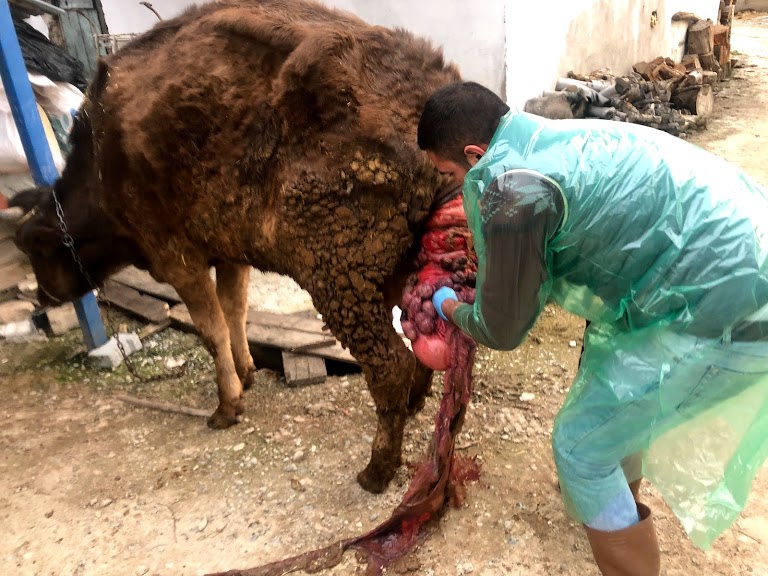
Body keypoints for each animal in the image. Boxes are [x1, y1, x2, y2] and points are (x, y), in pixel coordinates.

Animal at [10, 1, 462, 496]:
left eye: (34, 248)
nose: (42, 297)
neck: (103, 159)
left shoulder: (176, 258)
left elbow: (211, 330)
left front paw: (226, 406)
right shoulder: (229, 253)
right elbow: (234, 312)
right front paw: (246, 372)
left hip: (339, 278)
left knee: (389, 366)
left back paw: (377, 469)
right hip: (401, 268)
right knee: (418, 341)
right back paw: (415, 403)